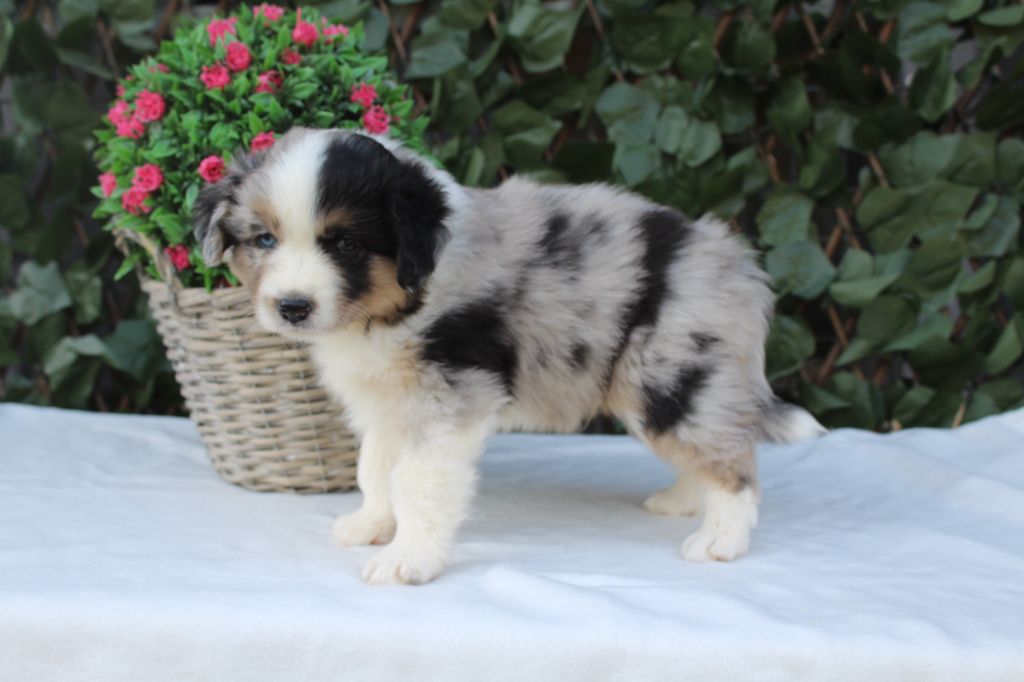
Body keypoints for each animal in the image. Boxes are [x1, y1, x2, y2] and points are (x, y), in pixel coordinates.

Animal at [193, 127, 824, 585]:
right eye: (264, 239)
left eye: (345, 243)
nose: (292, 307)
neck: (395, 302)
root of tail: (740, 268)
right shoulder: (390, 404)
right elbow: (375, 469)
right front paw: (371, 523)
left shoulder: (450, 398)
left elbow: (416, 481)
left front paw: (407, 559)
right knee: (707, 447)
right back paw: (683, 501)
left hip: (672, 374)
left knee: (733, 461)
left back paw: (721, 540)